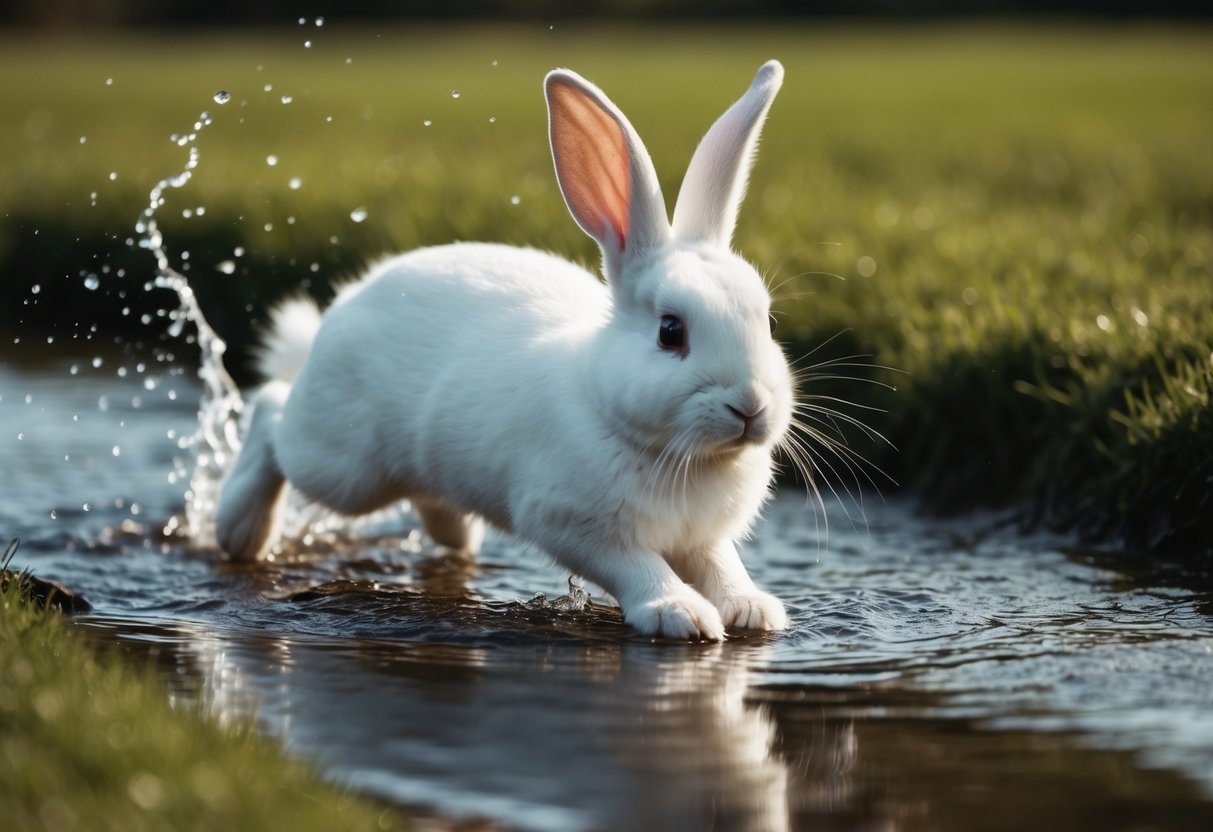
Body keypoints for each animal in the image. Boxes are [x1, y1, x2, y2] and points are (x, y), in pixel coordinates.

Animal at [216, 60, 794, 641]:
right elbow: (639, 568)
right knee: (271, 413)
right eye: (670, 332)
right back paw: (237, 530)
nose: (750, 407)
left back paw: (456, 536)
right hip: (342, 465)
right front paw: (680, 615)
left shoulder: (703, 537)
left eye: (768, 322)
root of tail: (342, 307)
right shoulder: (576, 525)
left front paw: (752, 610)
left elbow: (723, 565)